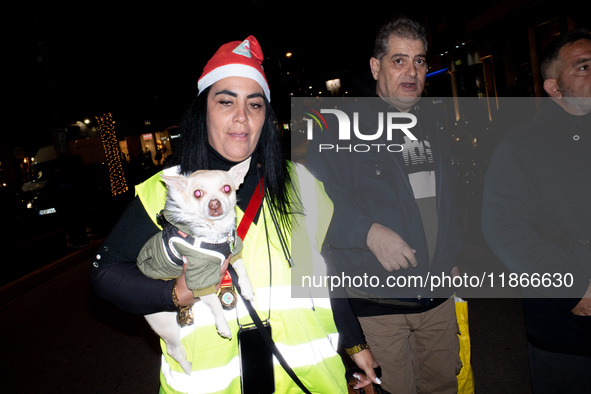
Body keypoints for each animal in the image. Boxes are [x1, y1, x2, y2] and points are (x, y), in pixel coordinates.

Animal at [139, 156, 254, 372]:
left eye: (227, 188)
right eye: (197, 193)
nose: (214, 203)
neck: (215, 232)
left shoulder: (233, 250)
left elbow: (241, 267)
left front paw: (247, 288)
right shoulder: (199, 279)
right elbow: (216, 304)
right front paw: (223, 326)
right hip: (167, 325)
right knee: (173, 350)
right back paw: (188, 370)